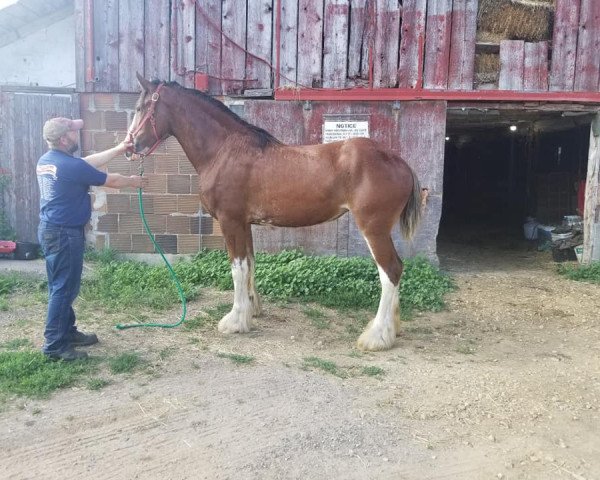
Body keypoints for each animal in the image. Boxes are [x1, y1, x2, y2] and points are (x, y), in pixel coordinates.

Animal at [126, 74, 422, 352]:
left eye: (141, 107)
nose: (129, 148)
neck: (224, 150)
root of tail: (400, 162)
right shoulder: (244, 223)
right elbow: (250, 264)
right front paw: (251, 310)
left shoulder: (230, 221)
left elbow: (237, 268)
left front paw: (235, 320)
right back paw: (393, 328)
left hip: (373, 228)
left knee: (390, 271)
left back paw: (377, 336)